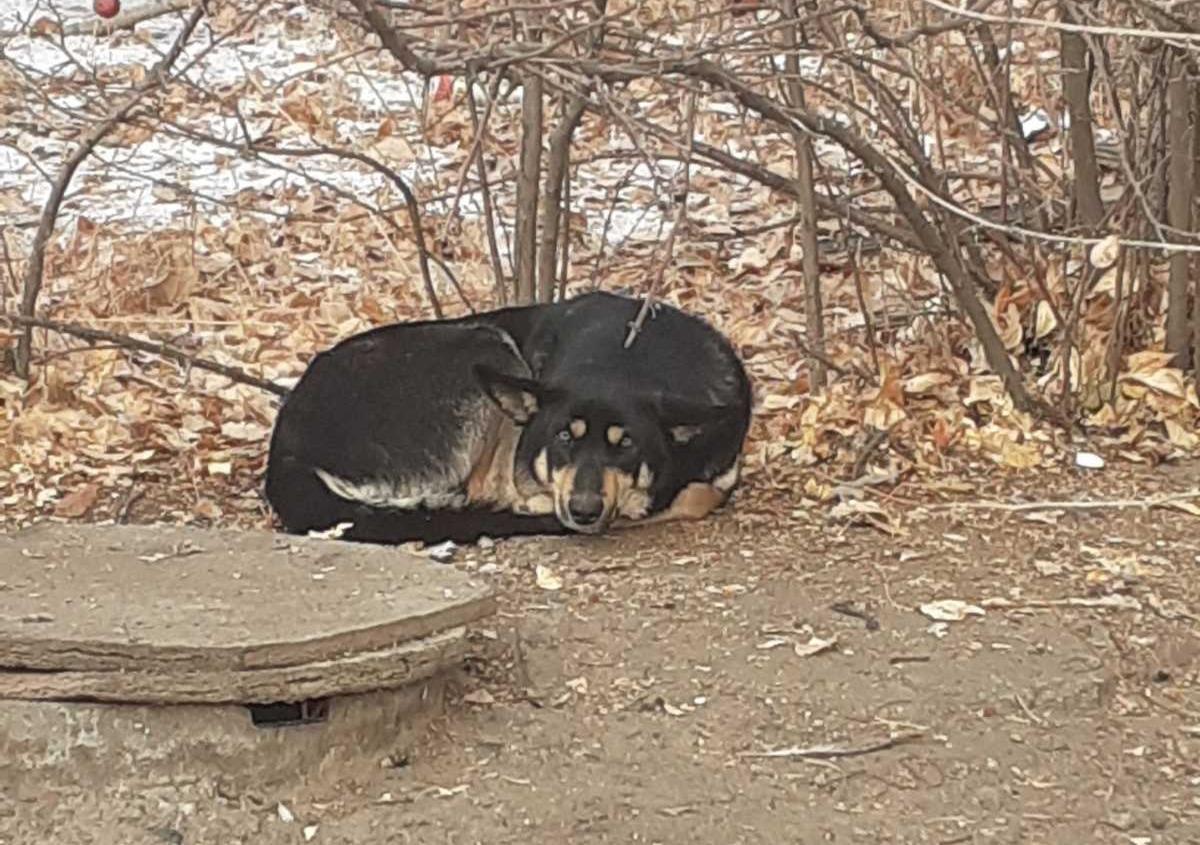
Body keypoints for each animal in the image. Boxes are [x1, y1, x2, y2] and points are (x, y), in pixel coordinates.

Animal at [265, 290, 748, 544]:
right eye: (563, 438)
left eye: (626, 443)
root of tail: (285, 448)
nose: (583, 510)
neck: (630, 359)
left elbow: (698, 493)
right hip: (485, 343)